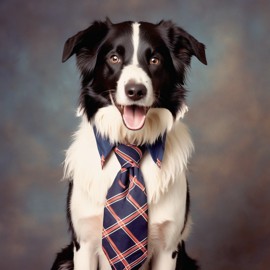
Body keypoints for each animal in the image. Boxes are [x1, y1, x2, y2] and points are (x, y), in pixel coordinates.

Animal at [51, 19, 207, 270]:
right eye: (114, 58)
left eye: (154, 60)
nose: (135, 91)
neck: (130, 143)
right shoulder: (83, 242)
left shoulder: (168, 247)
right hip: (64, 259)